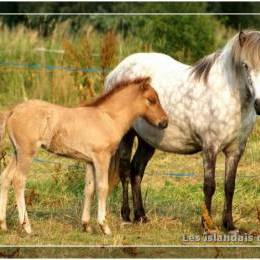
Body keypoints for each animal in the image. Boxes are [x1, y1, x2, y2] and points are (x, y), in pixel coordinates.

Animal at [0, 77, 167, 236]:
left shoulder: (90, 161)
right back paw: (26, 227)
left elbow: (89, 189)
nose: (164, 122)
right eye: (151, 99)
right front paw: (104, 227)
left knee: (6, 177)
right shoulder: (101, 158)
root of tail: (13, 110)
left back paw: (3, 225)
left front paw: (86, 225)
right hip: (26, 153)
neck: (108, 118)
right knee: (19, 180)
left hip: (16, 152)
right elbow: (102, 187)